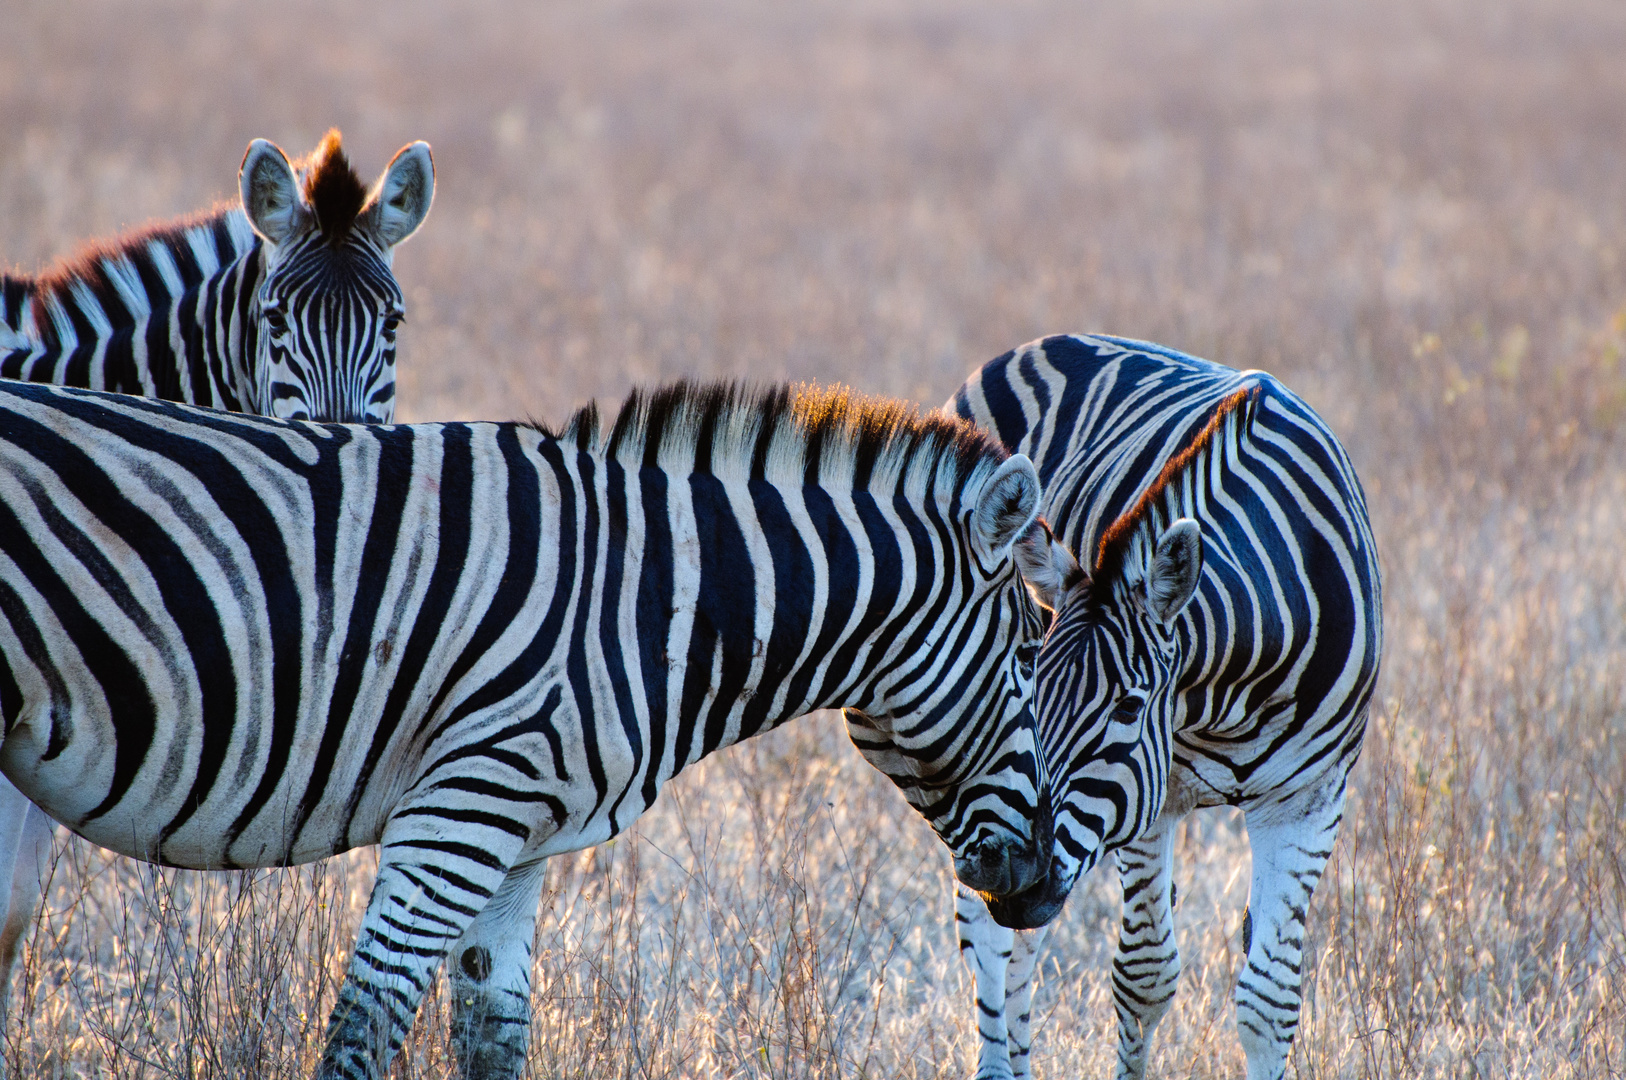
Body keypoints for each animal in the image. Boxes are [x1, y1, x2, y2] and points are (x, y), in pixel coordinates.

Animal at [0, 377, 1060, 1080]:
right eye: (1028, 659)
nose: (1045, 889)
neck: (657, 598)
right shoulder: (458, 814)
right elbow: (363, 1030)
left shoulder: (514, 842)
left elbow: (492, 1038)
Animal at [949, 338, 1378, 1080]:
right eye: (1032, 698)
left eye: (1128, 706)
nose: (1018, 878)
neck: (1239, 686)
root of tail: (1038, 344)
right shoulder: (1153, 800)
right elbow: (1143, 977)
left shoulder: (1308, 800)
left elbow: (1269, 1001)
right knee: (989, 943)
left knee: (1021, 949)